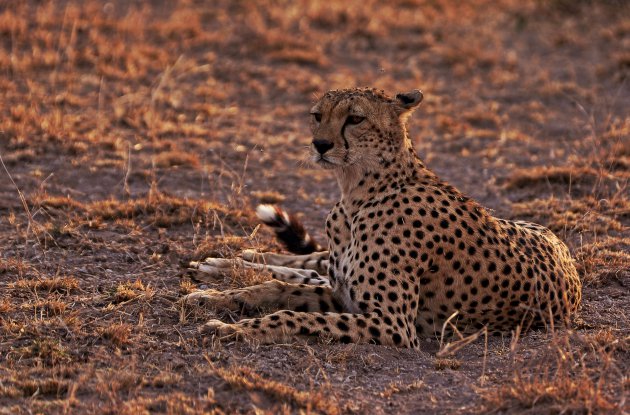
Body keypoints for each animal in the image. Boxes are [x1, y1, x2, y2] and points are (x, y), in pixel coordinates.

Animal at [185, 89, 584, 350]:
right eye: (317, 116)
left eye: (355, 119)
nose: (320, 144)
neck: (358, 194)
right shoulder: (342, 294)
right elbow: (276, 289)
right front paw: (215, 298)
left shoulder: (391, 324)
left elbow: (291, 313)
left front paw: (233, 328)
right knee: (304, 261)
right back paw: (223, 264)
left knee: (304, 267)